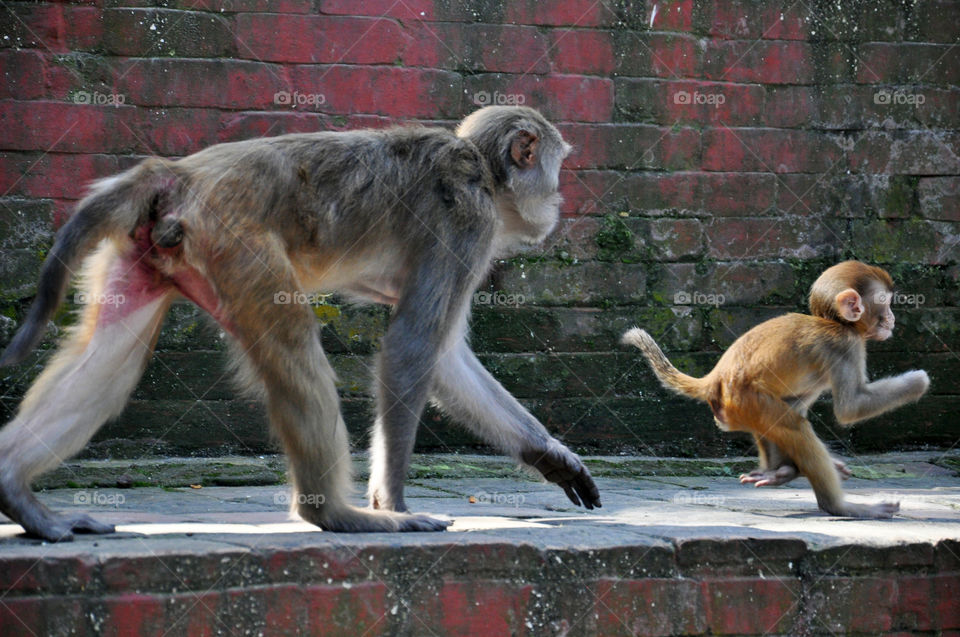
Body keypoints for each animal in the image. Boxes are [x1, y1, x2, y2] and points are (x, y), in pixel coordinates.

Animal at [0, 105, 600, 540]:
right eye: (556, 167)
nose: (559, 199)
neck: (484, 172)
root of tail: (181, 173)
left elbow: (446, 359)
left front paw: (551, 455)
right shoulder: (468, 223)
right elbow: (412, 347)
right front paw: (393, 499)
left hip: (153, 250)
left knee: (108, 360)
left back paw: (17, 493)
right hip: (237, 240)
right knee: (291, 339)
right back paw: (335, 514)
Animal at [624, 260, 928, 520]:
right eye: (885, 305)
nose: (893, 319)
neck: (834, 322)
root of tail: (715, 377)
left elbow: (799, 401)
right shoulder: (845, 345)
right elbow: (850, 408)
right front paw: (919, 382)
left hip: (739, 408)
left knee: (787, 414)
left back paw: (780, 472)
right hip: (746, 400)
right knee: (794, 425)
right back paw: (839, 507)